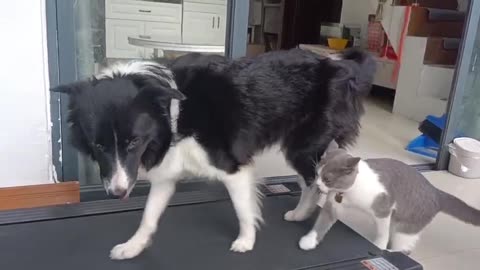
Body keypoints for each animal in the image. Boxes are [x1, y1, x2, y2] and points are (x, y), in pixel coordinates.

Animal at [298, 141, 480, 253]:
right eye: (317, 174)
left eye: (327, 179)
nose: (317, 185)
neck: (349, 192)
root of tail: (437, 192)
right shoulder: (332, 206)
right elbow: (320, 224)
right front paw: (309, 241)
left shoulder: (383, 209)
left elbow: (382, 233)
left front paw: (378, 247)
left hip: (405, 228)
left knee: (404, 246)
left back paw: (391, 252)